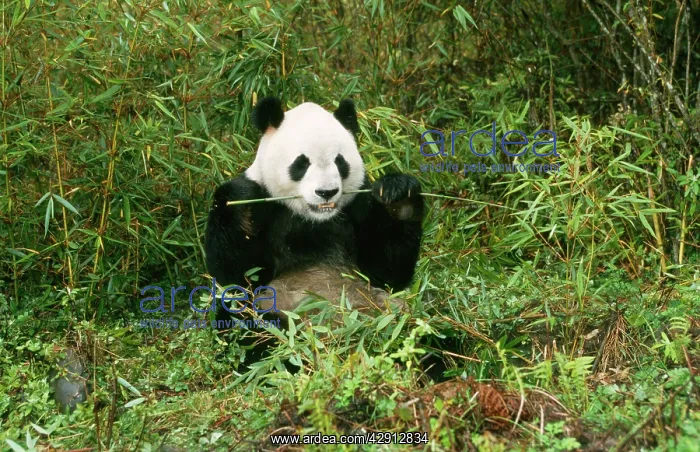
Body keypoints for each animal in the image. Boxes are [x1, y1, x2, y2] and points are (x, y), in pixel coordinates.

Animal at [205, 97, 424, 330]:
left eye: (340, 162)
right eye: (301, 163)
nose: (326, 192)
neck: (314, 219)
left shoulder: (357, 203)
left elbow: (386, 272)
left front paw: (399, 197)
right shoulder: (268, 205)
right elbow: (236, 278)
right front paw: (242, 198)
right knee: (244, 321)